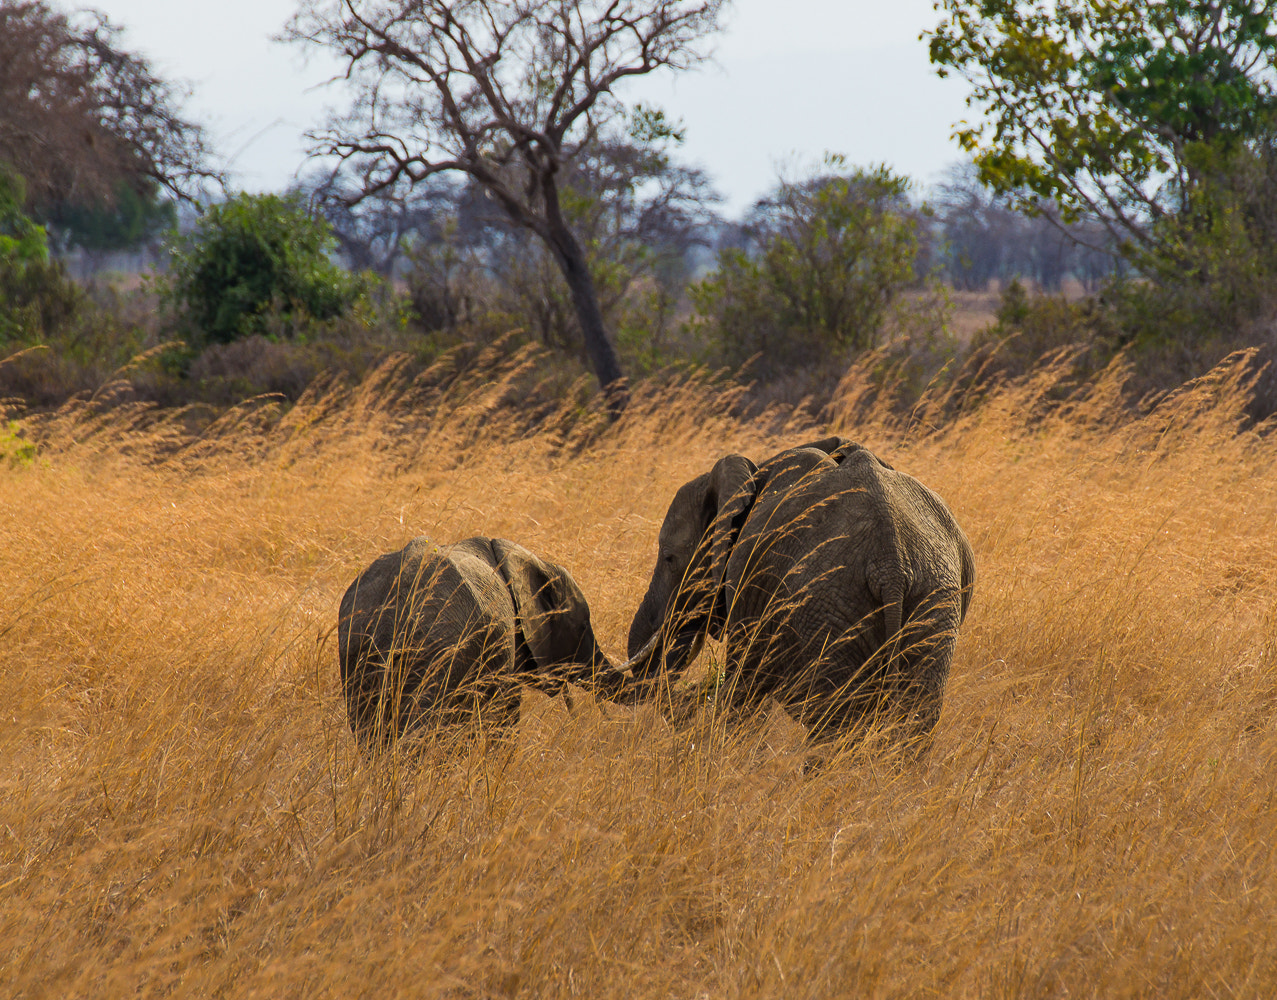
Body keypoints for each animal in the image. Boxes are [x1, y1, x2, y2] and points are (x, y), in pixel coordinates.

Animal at [628, 434, 975, 745]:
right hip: (933, 603)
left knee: (835, 724)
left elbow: (744, 693)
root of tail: (891, 562)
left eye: (669, 558)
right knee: (915, 720)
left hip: (831, 607)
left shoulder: (749, 588)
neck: (755, 471)